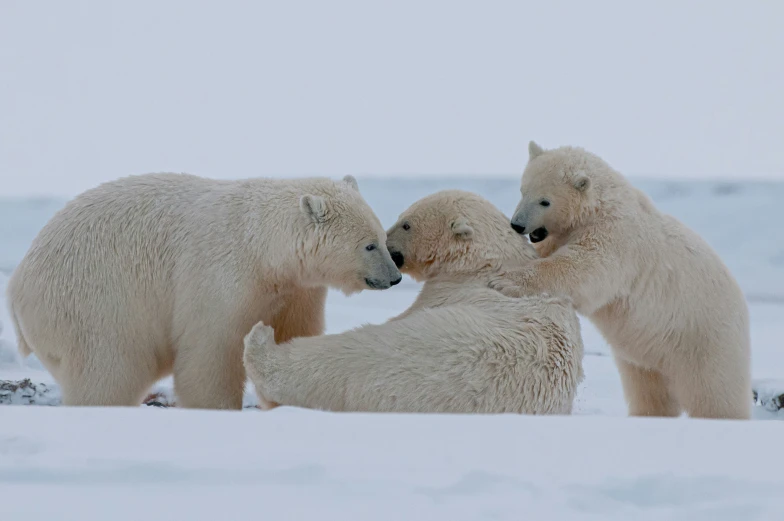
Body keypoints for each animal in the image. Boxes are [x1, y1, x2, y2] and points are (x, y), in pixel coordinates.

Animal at [10, 173, 404, 408]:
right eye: (369, 245)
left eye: (382, 237)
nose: (395, 277)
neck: (263, 246)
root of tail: (16, 285)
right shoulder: (221, 276)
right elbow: (212, 350)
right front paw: (217, 408)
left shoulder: (295, 289)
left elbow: (293, 333)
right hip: (95, 301)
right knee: (106, 368)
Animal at [243, 189, 580, 412]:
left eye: (406, 224)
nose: (386, 245)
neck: (487, 261)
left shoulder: (448, 291)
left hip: (413, 348)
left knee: (344, 355)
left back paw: (261, 343)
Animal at [490, 141, 752, 418]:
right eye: (523, 189)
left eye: (545, 201)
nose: (517, 225)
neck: (602, 204)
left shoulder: (616, 236)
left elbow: (582, 268)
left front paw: (506, 280)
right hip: (650, 353)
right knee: (648, 388)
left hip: (704, 338)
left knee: (715, 393)